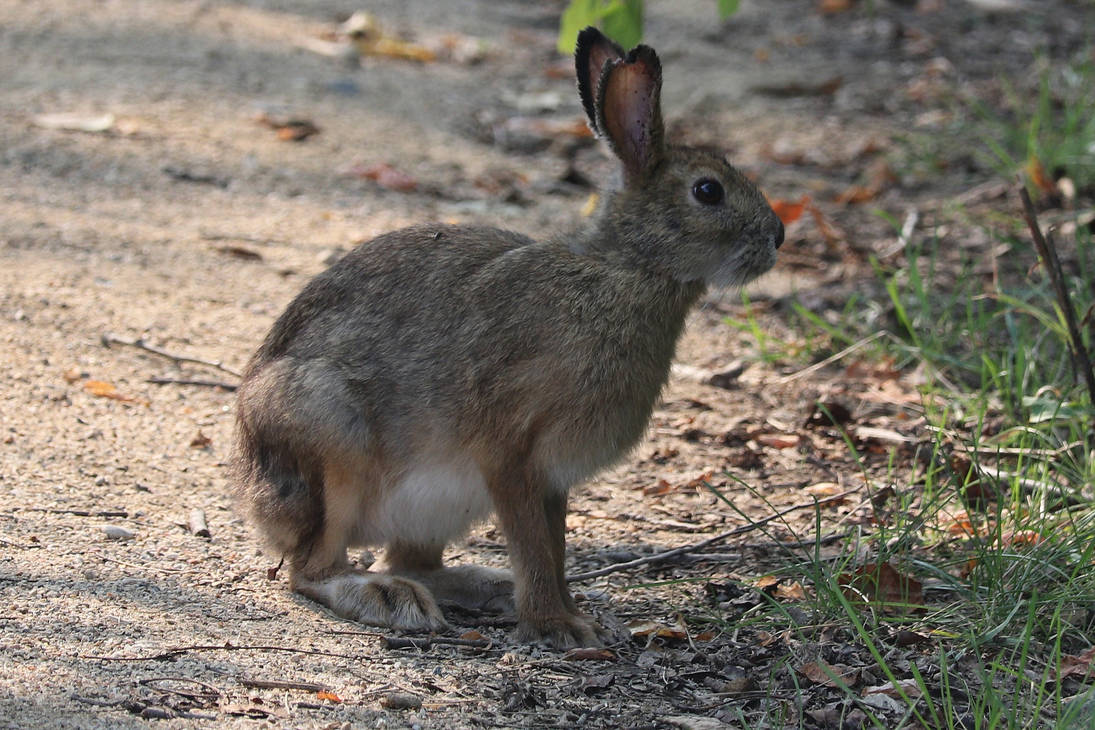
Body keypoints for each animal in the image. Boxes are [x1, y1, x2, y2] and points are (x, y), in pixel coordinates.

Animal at [234, 27, 784, 649]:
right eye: (708, 191)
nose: (779, 237)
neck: (626, 270)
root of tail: (251, 493)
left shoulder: (552, 478)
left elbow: (554, 547)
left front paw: (574, 615)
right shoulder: (510, 453)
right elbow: (533, 546)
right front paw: (558, 627)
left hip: (433, 504)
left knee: (411, 561)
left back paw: (482, 587)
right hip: (331, 443)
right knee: (313, 569)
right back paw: (389, 600)